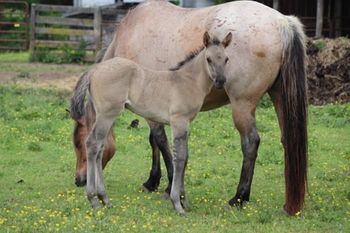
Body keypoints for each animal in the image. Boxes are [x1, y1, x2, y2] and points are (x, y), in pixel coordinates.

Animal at [70, 31, 232, 212]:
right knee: (93, 144)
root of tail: (94, 70)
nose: (221, 81)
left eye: (226, 59)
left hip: (105, 116)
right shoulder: (179, 121)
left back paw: (104, 198)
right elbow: (180, 157)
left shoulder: (185, 124)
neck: (186, 81)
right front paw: (177, 202)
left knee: (99, 148)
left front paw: (183, 199)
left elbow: (185, 156)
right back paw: (94, 199)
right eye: (209, 59)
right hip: (107, 115)